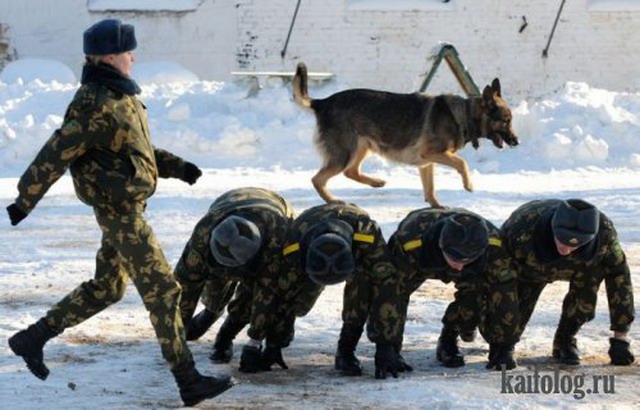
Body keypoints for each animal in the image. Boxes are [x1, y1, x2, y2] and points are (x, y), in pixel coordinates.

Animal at [292, 62, 516, 207]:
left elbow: (430, 189)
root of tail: (322, 102)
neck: (464, 115)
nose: (516, 141)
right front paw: (468, 184)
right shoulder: (433, 154)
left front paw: (437, 206)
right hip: (345, 154)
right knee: (318, 179)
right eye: (505, 120)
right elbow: (462, 163)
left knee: (350, 172)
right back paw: (333, 200)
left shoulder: (427, 162)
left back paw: (376, 182)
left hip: (362, 148)